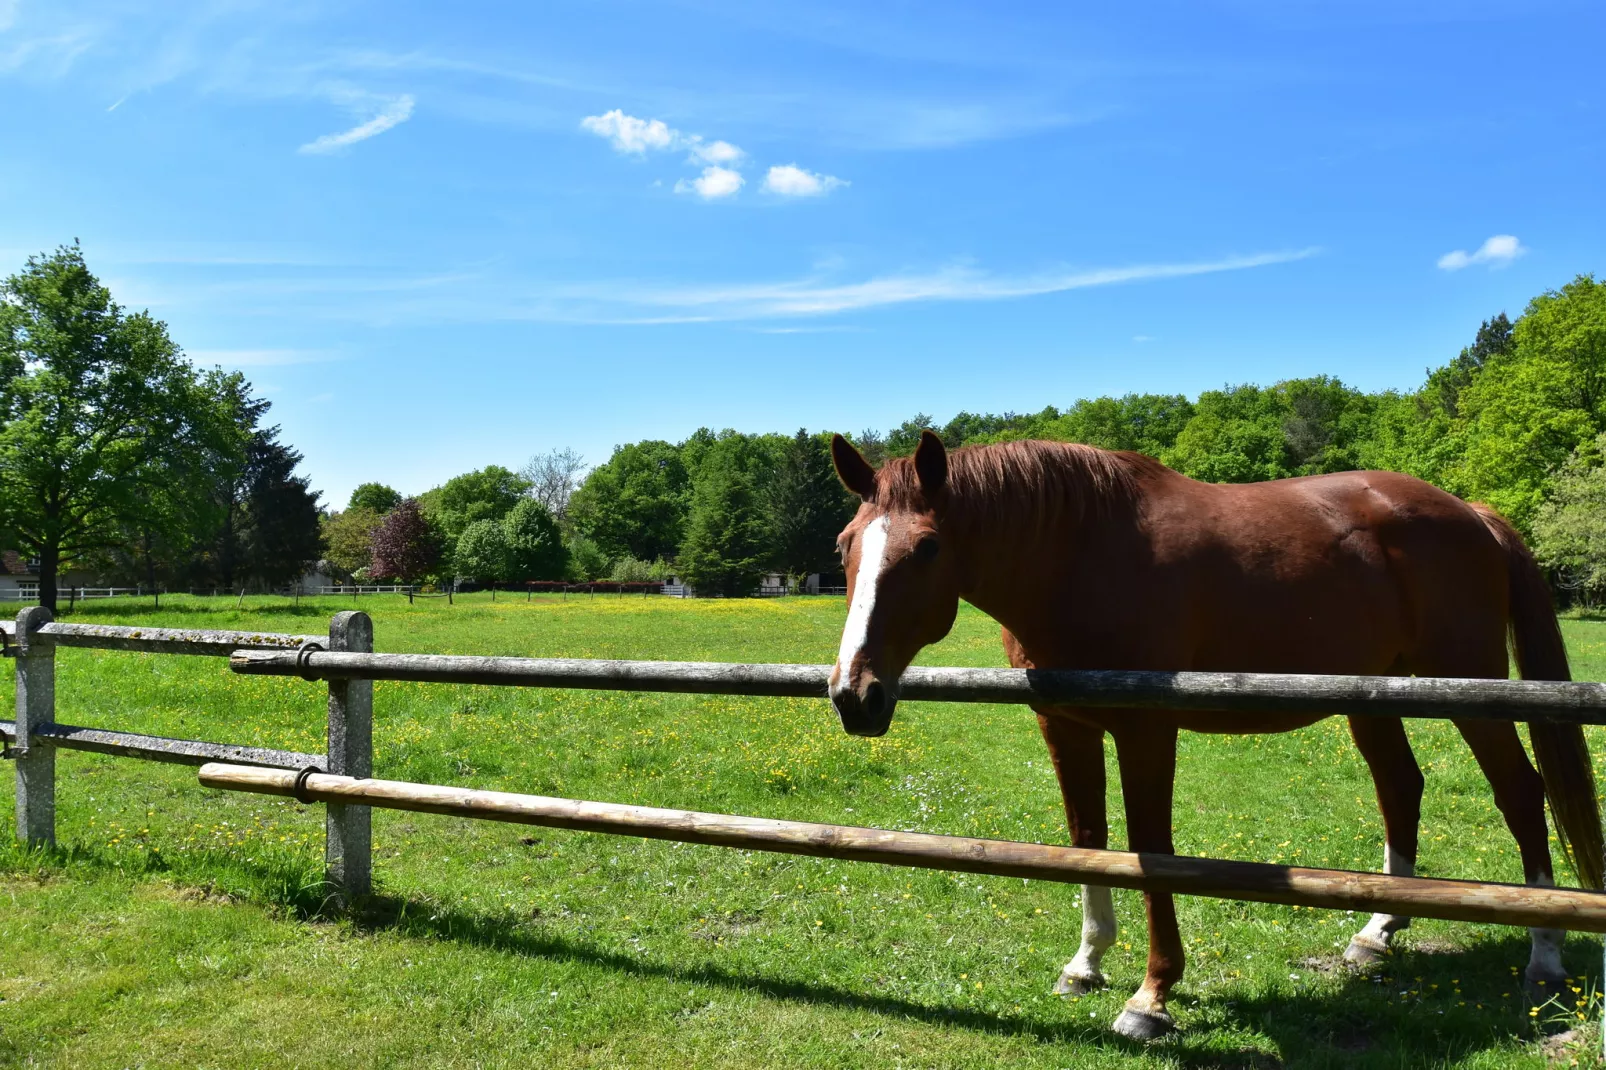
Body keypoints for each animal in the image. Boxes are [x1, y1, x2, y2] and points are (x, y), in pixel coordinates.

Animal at [828, 430, 1606, 1034]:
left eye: (928, 548)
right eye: (844, 547)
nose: (853, 695)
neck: (1080, 554)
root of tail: (1471, 514)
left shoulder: (1145, 730)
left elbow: (1150, 853)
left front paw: (1151, 996)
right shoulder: (1065, 725)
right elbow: (1087, 842)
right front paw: (1085, 964)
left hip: (1472, 688)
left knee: (1520, 792)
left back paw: (1544, 954)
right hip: (1374, 695)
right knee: (1401, 787)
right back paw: (1377, 932)